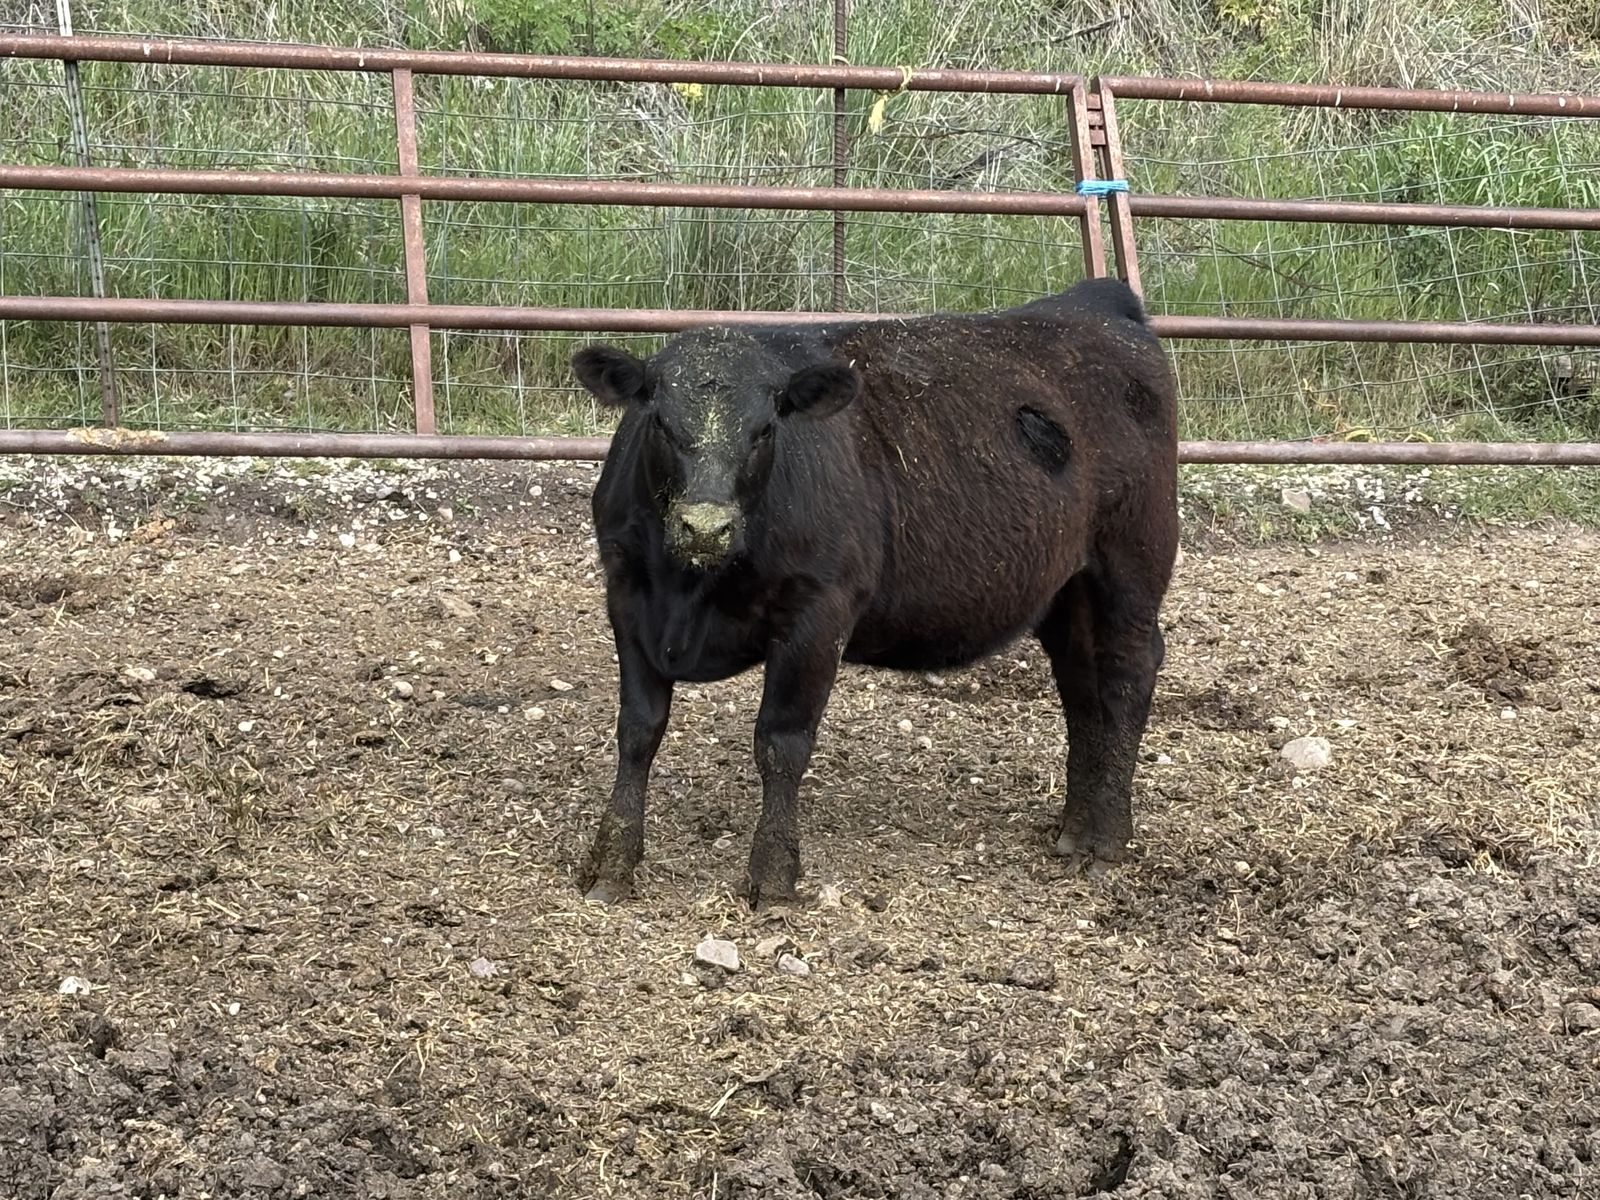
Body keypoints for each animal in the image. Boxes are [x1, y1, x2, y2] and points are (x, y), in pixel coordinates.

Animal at [570, 277, 1178, 908]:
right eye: (661, 423)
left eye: (765, 430)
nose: (705, 527)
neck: (689, 591)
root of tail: (1093, 302)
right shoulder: (628, 599)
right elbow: (638, 729)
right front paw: (612, 861)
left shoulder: (818, 613)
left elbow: (781, 742)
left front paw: (773, 874)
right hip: (1067, 589)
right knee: (1082, 687)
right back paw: (1075, 829)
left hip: (1132, 563)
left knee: (1128, 673)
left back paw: (1107, 839)